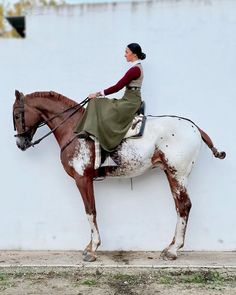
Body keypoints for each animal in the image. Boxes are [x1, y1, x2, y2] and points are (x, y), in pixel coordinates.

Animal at [12, 91, 225, 264]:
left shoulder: (83, 179)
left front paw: (93, 249)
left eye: (16, 115)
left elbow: (90, 211)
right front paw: (90, 246)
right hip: (172, 175)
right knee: (179, 207)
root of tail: (194, 127)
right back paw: (170, 246)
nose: (20, 143)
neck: (75, 130)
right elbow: (91, 211)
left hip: (177, 174)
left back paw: (173, 250)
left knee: (184, 206)